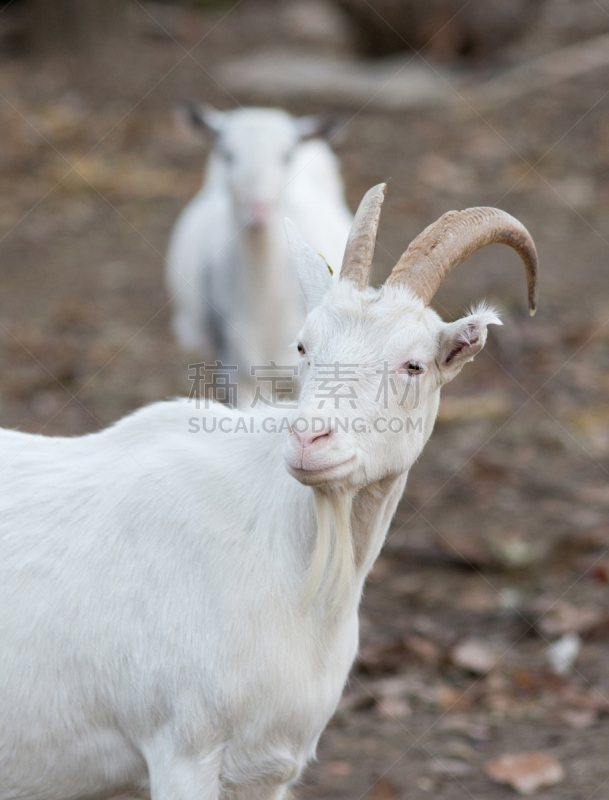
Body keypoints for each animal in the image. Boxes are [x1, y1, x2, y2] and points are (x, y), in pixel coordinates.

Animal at [0, 186, 536, 800]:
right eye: (302, 347)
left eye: (414, 365)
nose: (308, 439)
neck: (295, 570)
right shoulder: (182, 751)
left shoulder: (267, 767)